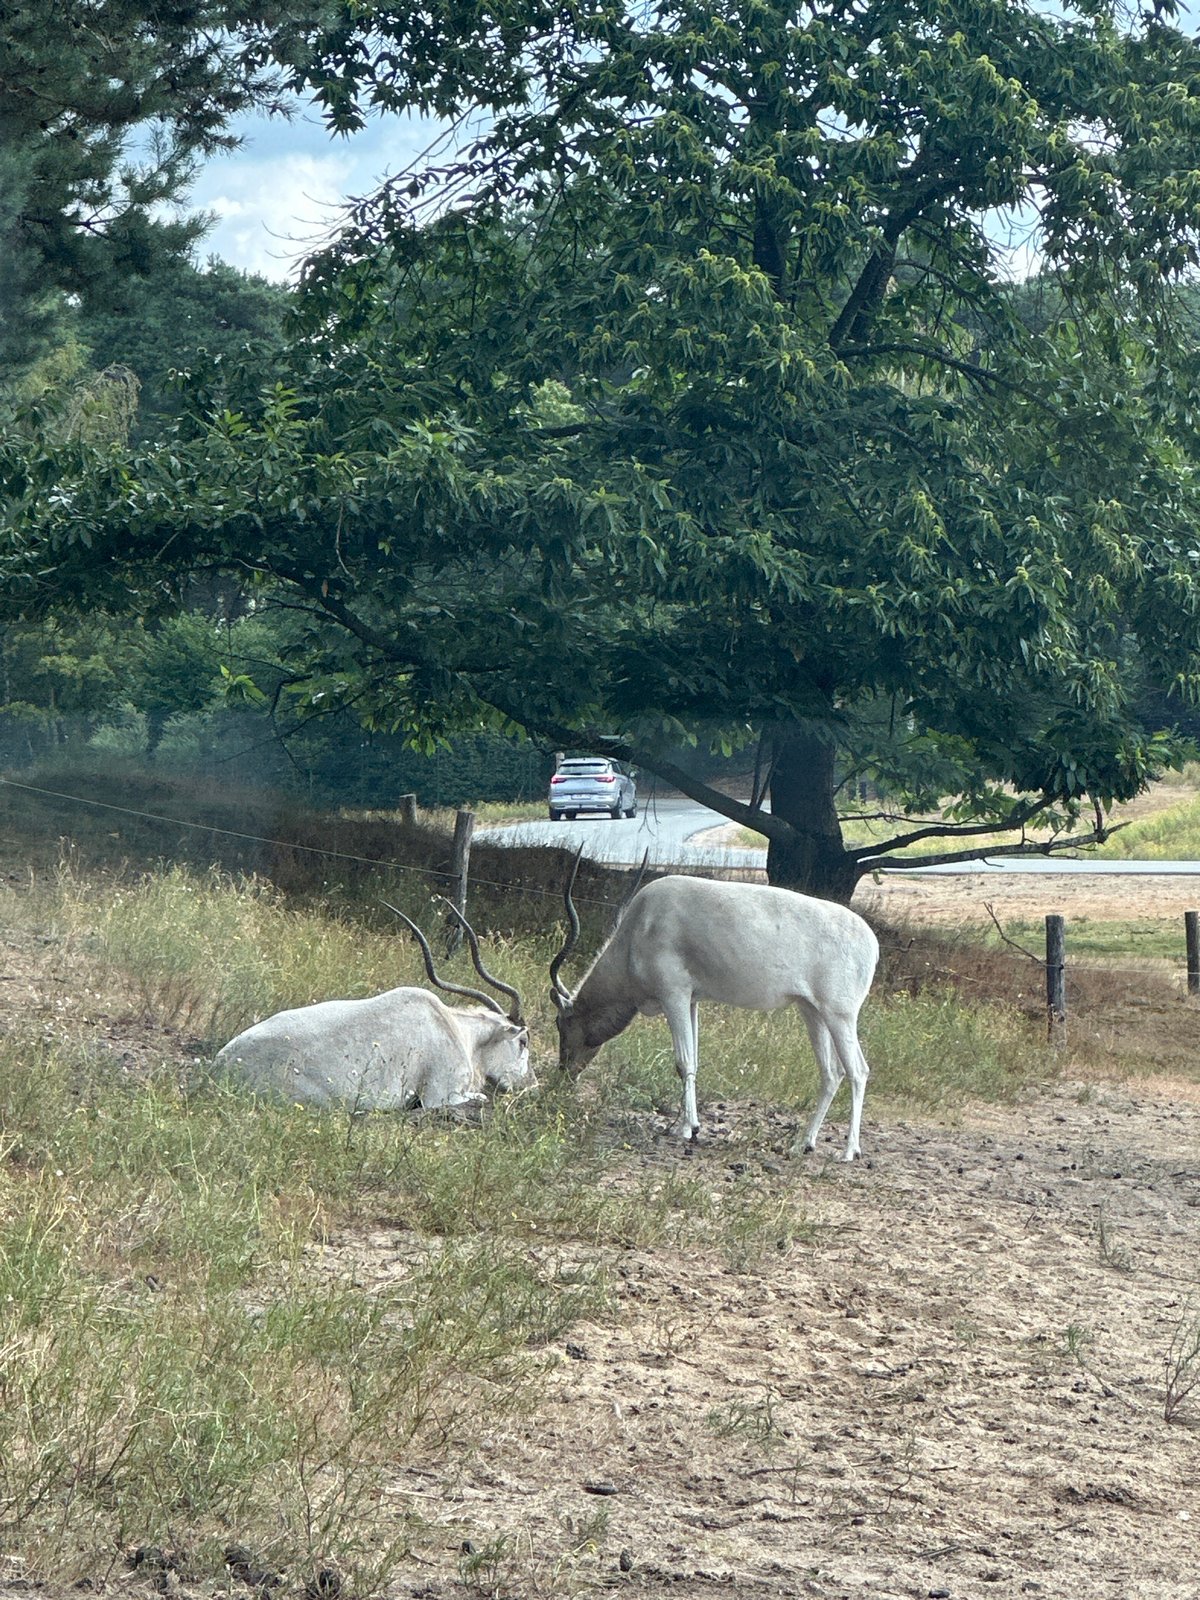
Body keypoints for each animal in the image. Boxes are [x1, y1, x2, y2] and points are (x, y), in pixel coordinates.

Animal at [549, 860, 879, 1159]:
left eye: (561, 1023)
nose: (564, 1075)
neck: (640, 925)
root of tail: (872, 944)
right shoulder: (692, 1000)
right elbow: (692, 1059)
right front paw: (691, 1124)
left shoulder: (674, 995)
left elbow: (683, 1062)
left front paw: (686, 1130)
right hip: (813, 1012)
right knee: (831, 1074)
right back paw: (803, 1144)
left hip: (839, 1016)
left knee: (858, 1071)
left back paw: (849, 1151)